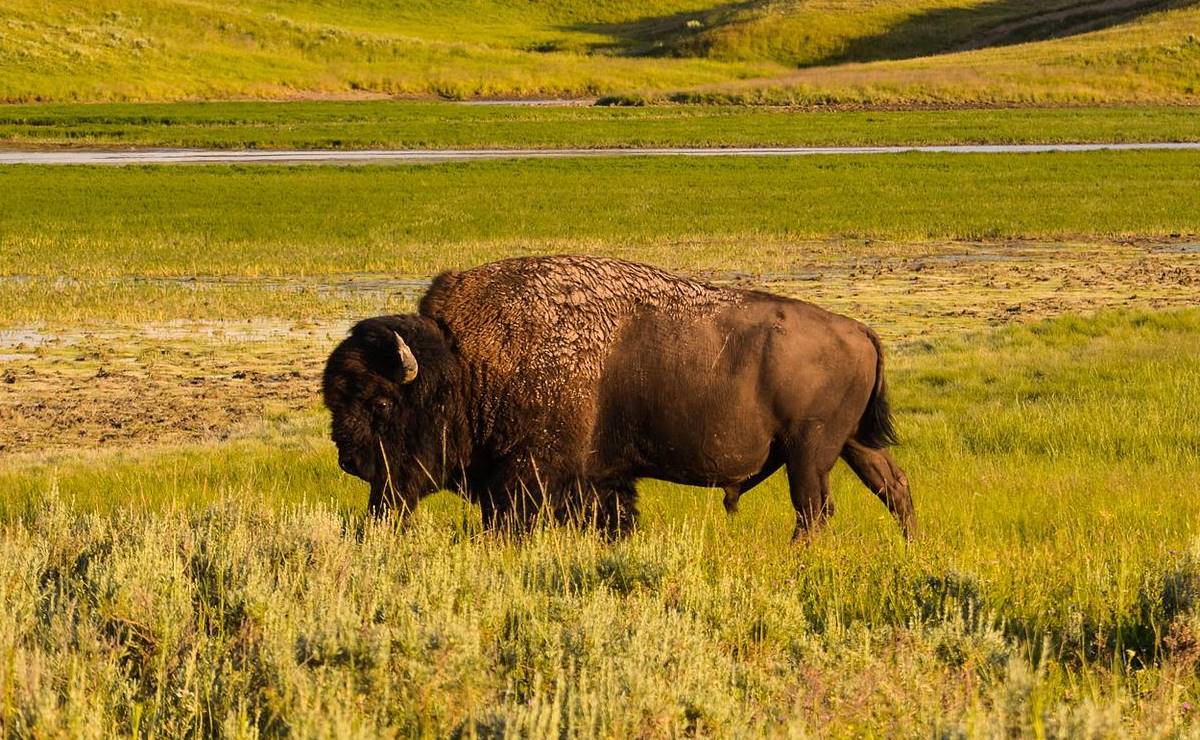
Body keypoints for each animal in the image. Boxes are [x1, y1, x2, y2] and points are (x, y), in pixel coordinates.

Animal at [324, 256, 912, 539]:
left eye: (381, 404)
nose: (349, 460)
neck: (467, 362)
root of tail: (861, 330)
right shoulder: (598, 480)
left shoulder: (527, 476)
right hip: (851, 445)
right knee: (893, 487)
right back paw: (911, 546)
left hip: (809, 453)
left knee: (814, 510)